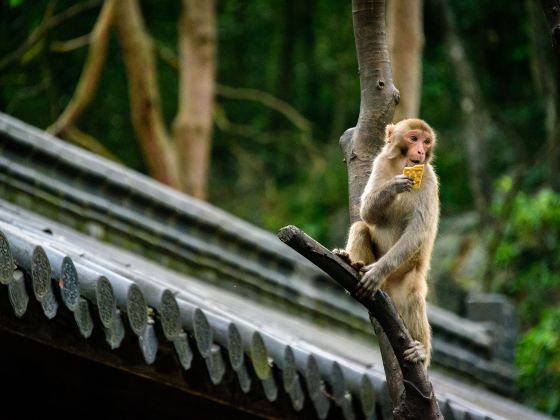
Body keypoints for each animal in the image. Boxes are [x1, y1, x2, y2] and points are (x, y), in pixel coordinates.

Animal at [334, 118, 440, 368]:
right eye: (413, 138)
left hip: (406, 278)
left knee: (413, 295)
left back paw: (421, 353)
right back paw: (352, 263)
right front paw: (395, 185)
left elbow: (417, 232)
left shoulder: (429, 179)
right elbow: (366, 212)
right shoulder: (380, 163)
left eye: (426, 141)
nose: (420, 151)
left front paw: (377, 271)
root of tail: (388, 288)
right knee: (360, 227)